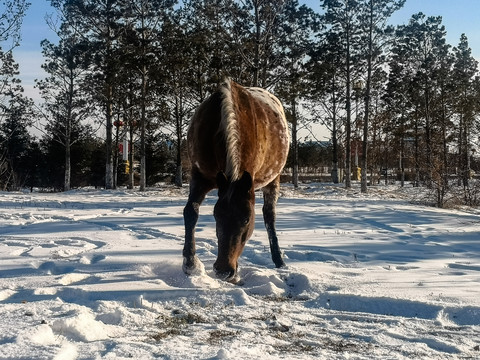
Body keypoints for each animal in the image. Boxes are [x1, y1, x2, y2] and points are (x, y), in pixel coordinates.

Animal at [183, 79, 288, 284]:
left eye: (247, 219)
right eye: (216, 215)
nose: (224, 271)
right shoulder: (199, 176)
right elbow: (191, 212)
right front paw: (190, 264)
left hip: (273, 180)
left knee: (269, 216)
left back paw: (278, 260)